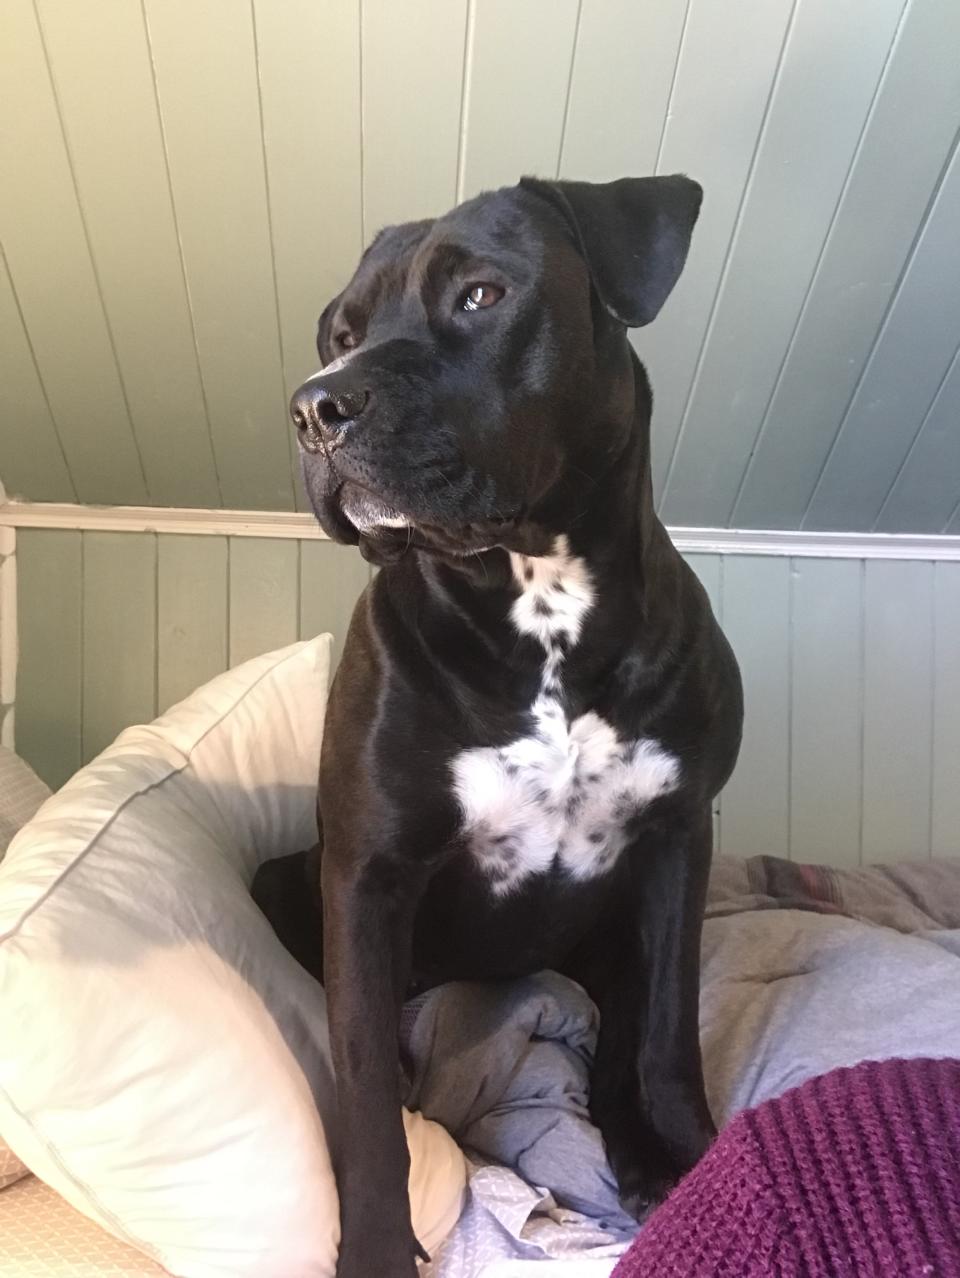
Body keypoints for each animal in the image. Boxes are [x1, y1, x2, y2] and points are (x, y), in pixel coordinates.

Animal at [270, 177, 741, 1278]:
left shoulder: (678, 840)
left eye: (481, 294)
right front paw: (377, 1248)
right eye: (343, 333)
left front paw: (699, 1160)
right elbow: (364, 1092)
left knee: (621, 1032)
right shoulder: (366, 874)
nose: (314, 406)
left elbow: (667, 1035)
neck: (541, 599)